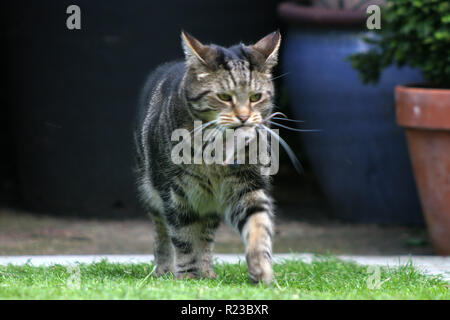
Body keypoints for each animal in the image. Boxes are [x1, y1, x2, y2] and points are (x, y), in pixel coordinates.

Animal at [134, 31, 282, 284]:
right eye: (224, 96)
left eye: (255, 97)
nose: (244, 117)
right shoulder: (175, 194)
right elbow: (183, 239)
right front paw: (187, 275)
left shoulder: (248, 184)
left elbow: (258, 224)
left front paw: (261, 267)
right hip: (152, 190)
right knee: (162, 232)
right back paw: (165, 269)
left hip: (210, 205)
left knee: (205, 237)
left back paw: (208, 271)